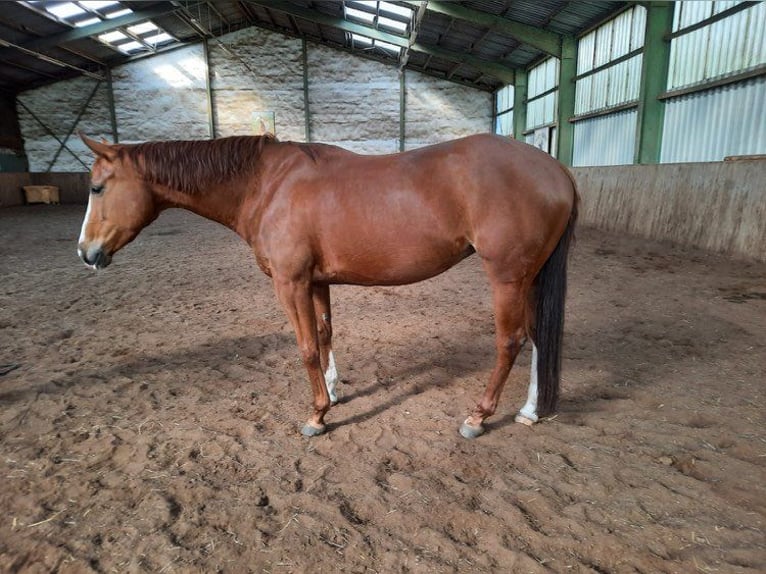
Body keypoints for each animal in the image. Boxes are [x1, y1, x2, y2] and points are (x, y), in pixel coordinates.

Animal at [78, 134, 580, 440]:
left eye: (98, 188)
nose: (85, 253)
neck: (267, 184)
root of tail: (556, 170)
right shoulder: (317, 282)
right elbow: (323, 336)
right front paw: (334, 392)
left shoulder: (291, 282)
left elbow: (304, 348)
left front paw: (316, 415)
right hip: (530, 278)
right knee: (538, 338)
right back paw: (530, 410)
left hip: (508, 278)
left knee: (510, 341)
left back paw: (478, 416)